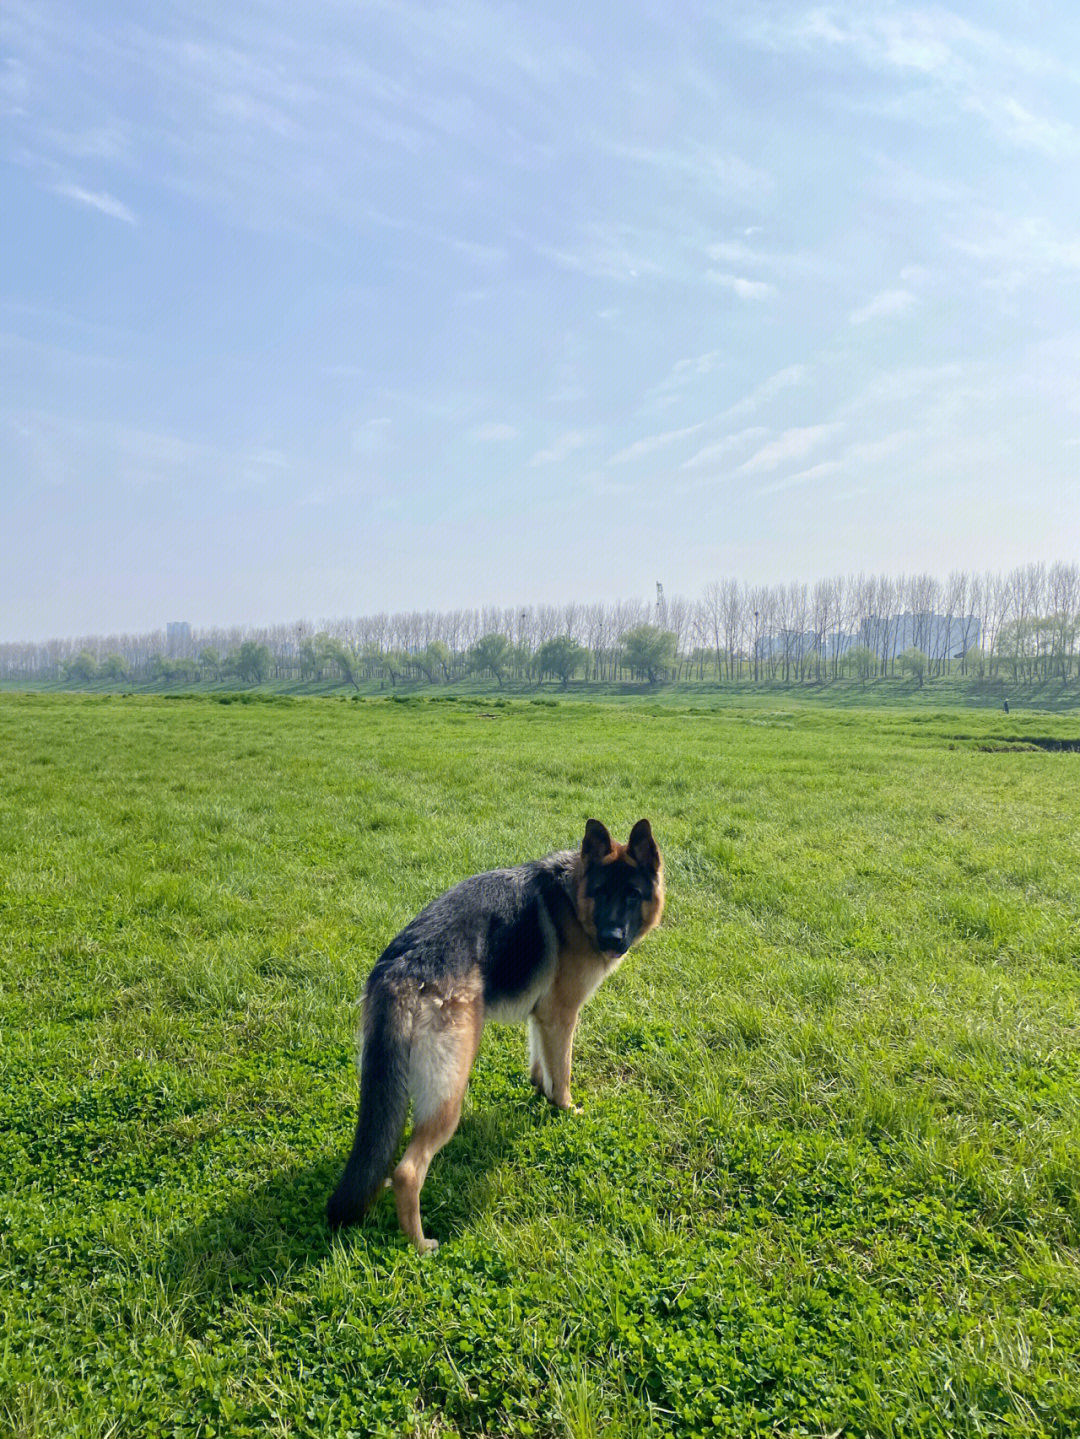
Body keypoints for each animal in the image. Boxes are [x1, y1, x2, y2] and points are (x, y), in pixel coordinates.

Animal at [325, 823, 664, 1249]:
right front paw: (566, 1108)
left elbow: (541, 1060)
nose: (612, 939)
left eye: (632, 894)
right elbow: (563, 1073)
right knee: (406, 1172)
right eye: (601, 892)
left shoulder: (543, 1017)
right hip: (450, 1089)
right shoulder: (563, 1015)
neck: (574, 899)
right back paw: (421, 1245)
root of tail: (401, 968)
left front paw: (540, 1090)